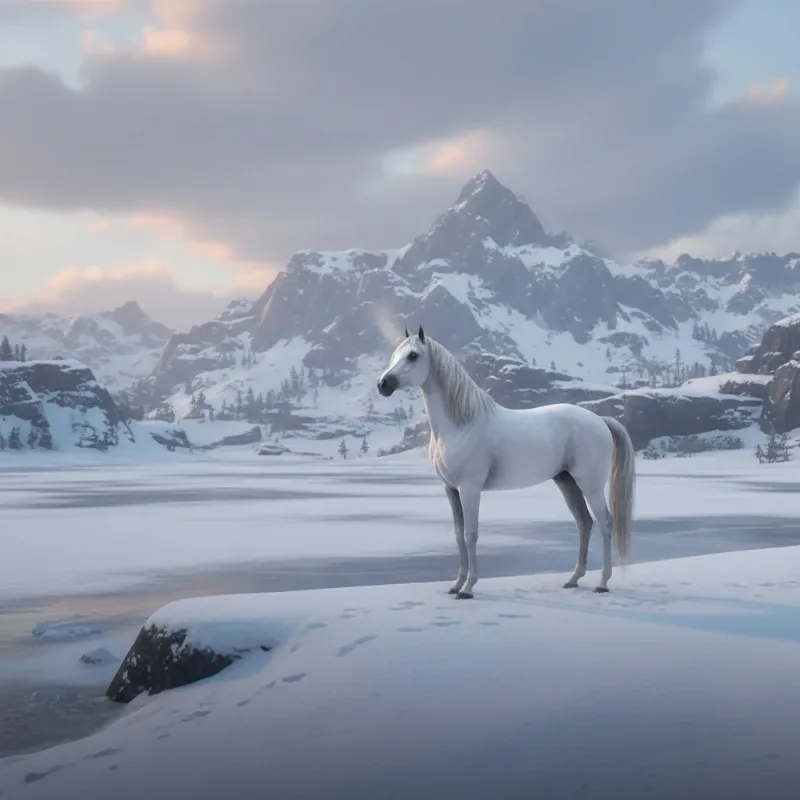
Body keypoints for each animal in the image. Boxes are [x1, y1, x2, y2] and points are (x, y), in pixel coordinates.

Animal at [377, 326, 635, 599]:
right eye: (396, 354)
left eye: (413, 355)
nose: (383, 384)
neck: (461, 424)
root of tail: (600, 420)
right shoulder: (451, 490)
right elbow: (458, 535)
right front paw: (456, 584)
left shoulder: (470, 488)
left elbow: (470, 534)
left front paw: (468, 588)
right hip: (567, 482)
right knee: (584, 523)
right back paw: (573, 579)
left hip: (590, 484)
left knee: (605, 522)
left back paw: (603, 583)